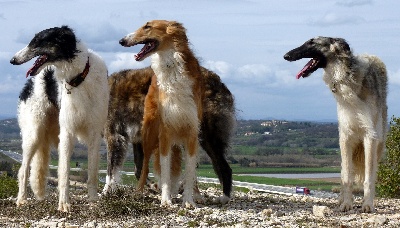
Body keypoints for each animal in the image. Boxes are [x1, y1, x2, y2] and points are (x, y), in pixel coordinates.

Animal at [10, 25, 108, 212]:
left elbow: (92, 172)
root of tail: (31, 82)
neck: (79, 78)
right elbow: (64, 172)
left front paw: (93, 200)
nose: (12, 60)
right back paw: (21, 199)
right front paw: (64, 203)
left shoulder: (94, 133)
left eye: (37, 41)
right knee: (23, 170)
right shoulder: (67, 132)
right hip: (34, 133)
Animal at [119, 20, 203, 208]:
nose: (121, 41)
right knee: (144, 167)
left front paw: (188, 200)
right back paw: (140, 191)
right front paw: (166, 199)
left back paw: (195, 193)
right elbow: (165, 169)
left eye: (147, 26)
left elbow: (190, 171)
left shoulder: (192, 131)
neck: (172, 67)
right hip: (149, 135)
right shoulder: (166, 132)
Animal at [284, 36, 388, 213]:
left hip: (378, 144)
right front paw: (346, 203)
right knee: (344, 174)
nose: (286, 56)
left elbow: (368, 177)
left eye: (312, 42)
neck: (347, 79)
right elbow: (346, 176)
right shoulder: (346, 136)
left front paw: (367, 204)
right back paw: (342, 200)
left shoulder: (370, 136)